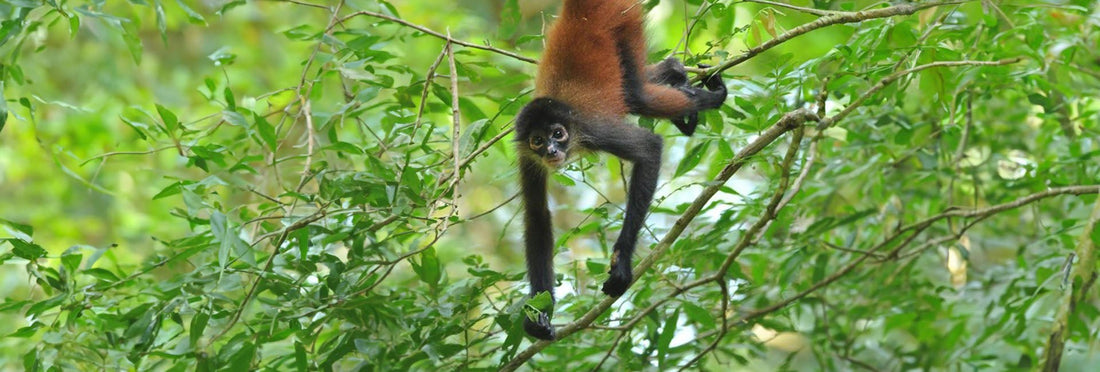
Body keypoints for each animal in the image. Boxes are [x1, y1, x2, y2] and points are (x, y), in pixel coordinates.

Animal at [517, 0, 730, 338]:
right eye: (537, 140)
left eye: (557, 134)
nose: (551, 151)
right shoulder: (527, 156)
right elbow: (537, 215)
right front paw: (539, 314)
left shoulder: (593, 129)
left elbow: (649, 149)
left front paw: (622, 266)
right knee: (638, 91)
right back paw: (675, 72)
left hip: (624, 19)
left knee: (637, 93)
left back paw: (709, 97)